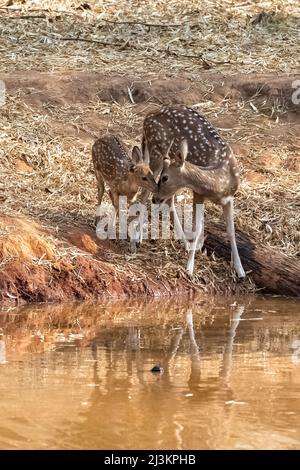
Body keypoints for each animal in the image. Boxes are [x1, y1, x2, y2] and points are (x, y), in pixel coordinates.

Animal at [144, 104, 246, 278]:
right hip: (156, 152)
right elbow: (197, 228)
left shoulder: (229, 198)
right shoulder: (198, 192)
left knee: (168, 199)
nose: (155, 198)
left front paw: (240, 270)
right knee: (144, 189)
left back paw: (184, 241)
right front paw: (189, 268)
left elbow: (231, 231)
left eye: (165, 178)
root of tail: (147, 116)